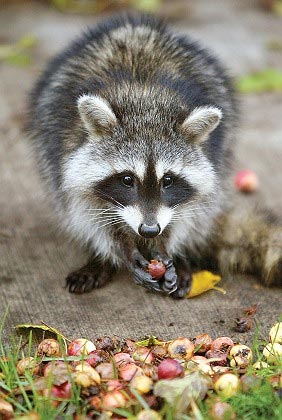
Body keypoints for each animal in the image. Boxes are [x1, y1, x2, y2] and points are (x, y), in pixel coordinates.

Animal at [27, 12, 282, 296]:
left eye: (168, 180)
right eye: (127, 180)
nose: (149, 230)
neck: (145, 100)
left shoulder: (210, 163)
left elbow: (193, 210)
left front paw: (165, 245)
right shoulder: (64, 150)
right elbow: (88, 212)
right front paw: (123, 248)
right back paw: (100, 259)